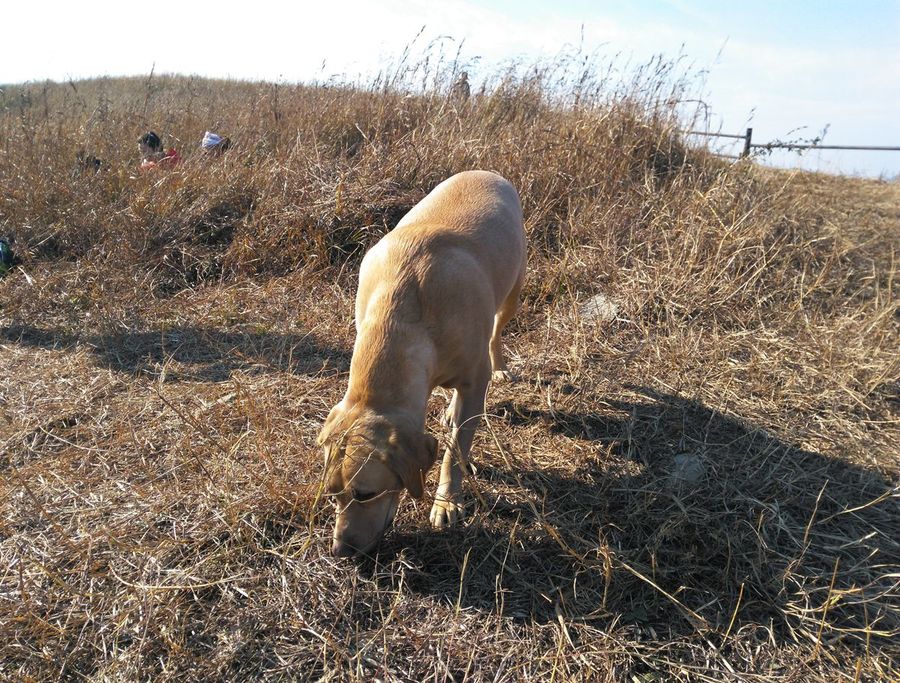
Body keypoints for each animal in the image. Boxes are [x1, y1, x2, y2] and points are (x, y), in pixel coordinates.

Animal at [318, 170, 524, 556]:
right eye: (332, 494)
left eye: (364, 494)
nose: (340, 552)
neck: (402, 314)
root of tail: (486, 172)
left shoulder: (474, 382)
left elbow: (455, 450)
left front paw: (447, 501)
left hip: (513, 292)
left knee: (496, 332)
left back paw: (500, 366)